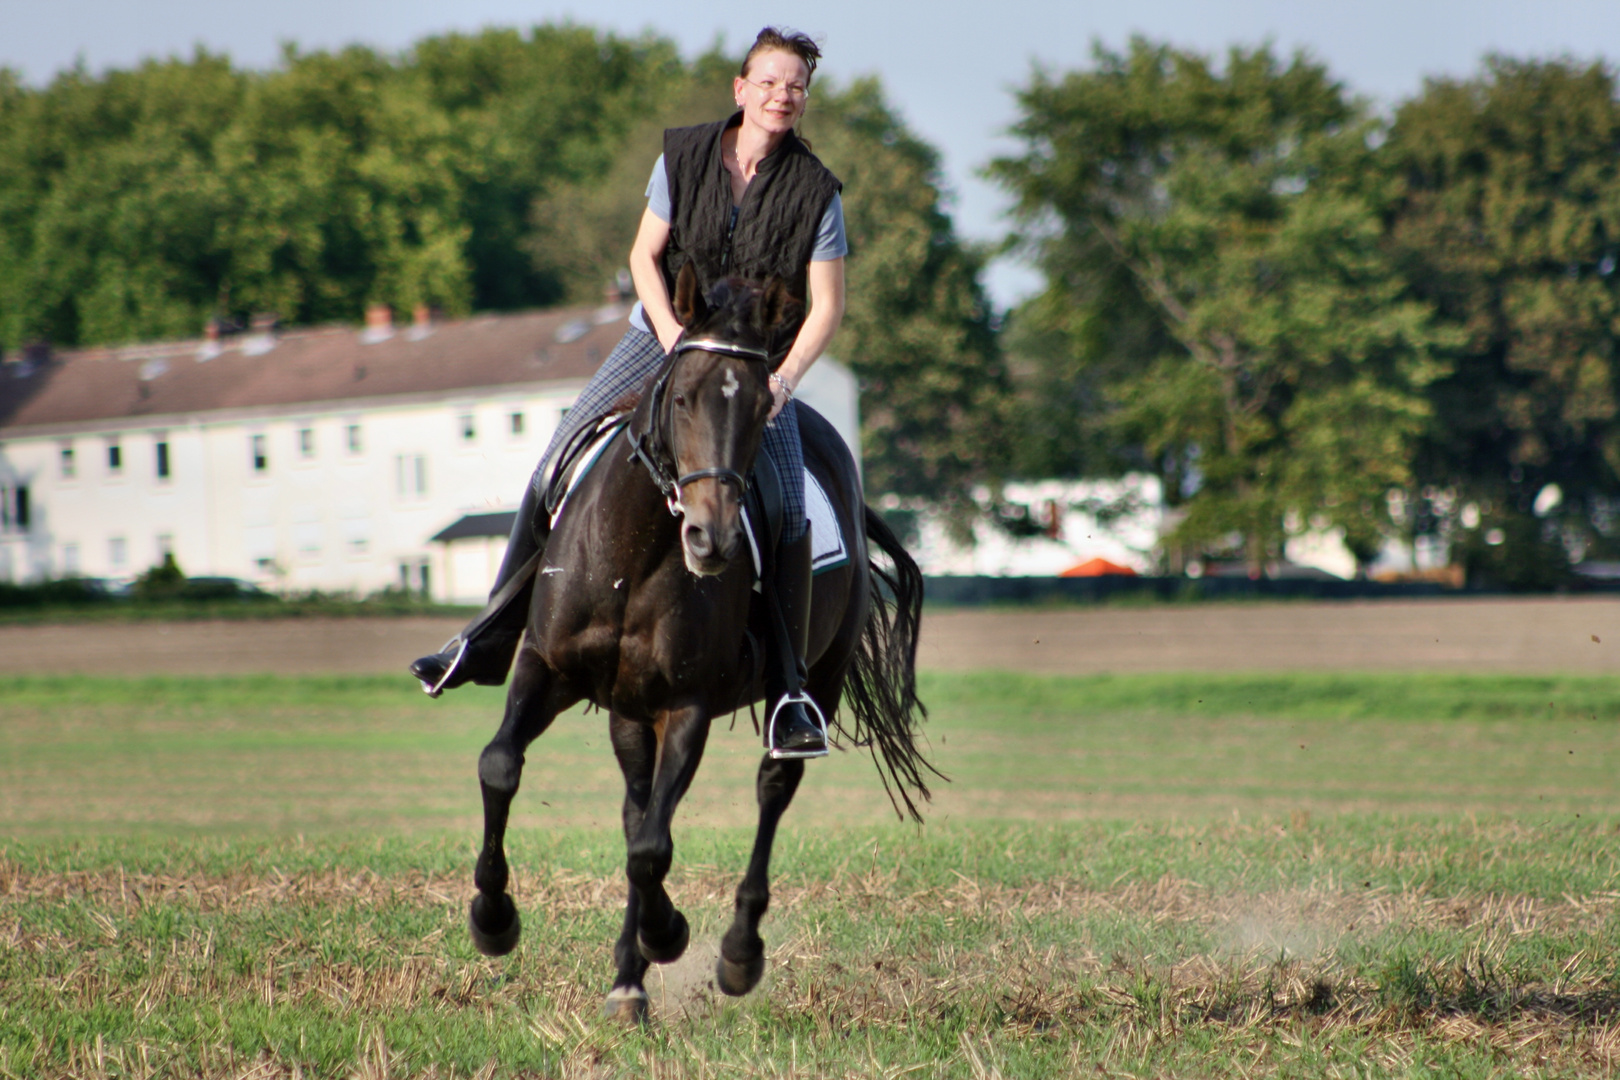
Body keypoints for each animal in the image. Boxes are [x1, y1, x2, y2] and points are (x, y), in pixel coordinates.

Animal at [463, 268, 933, 1023]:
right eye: (681, 397)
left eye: (761, 410)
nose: (712, 538)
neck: (632, 552)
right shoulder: (546, 667)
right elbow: (502, 765)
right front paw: (493, 918)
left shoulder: (685, 706)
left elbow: (653, 846)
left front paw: (668, 932)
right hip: (628, 711)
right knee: (635, 804)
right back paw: (628, 979)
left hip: (815, 683)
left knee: (770, 788)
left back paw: (734, 955)